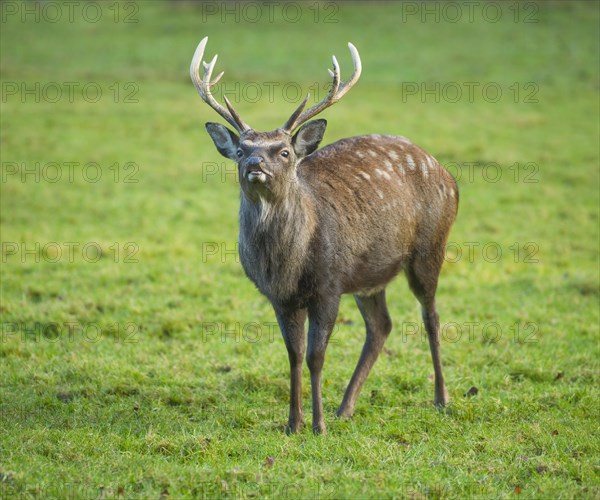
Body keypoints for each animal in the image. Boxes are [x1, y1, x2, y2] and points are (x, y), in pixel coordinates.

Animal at [190, 37, 458, 434]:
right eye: (240, 150)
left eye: (284, 151)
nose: (255, 165)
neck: (288, 265)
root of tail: (449, 176)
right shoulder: (279, 297)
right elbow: (294, 354)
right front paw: (293, 422)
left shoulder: (329, 285)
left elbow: (316, 356)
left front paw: (316, 425)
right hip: (369, 275)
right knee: (381, 326)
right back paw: (345, 407)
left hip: (430, 247)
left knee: (431, 317)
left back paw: (441, 398)